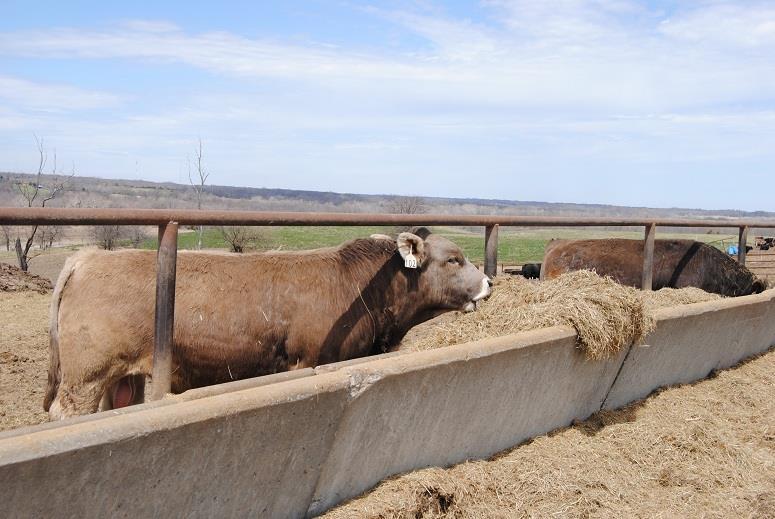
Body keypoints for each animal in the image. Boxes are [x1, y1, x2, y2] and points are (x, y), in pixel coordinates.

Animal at [44, 230, 492, 420]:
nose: (489, 282)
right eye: (453, 259)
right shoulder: (307, 361)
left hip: (124, 379)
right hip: (86, 377)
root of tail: (85, 258)